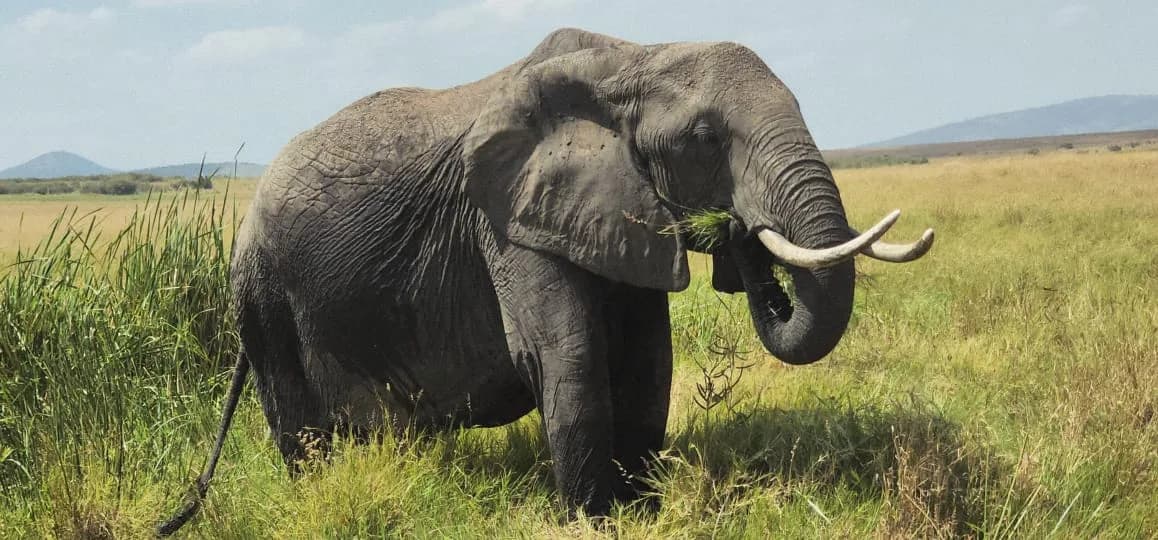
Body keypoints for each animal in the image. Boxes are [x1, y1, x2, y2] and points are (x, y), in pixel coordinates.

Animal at [158, 27, 932, 535]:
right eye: (705, 140)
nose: (740, 238)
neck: (629, 60)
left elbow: (647, 362)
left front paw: (642, 510)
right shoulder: (504, 220)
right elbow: (569, 356)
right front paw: (593, 522)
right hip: (263, 298)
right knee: (301, 433)